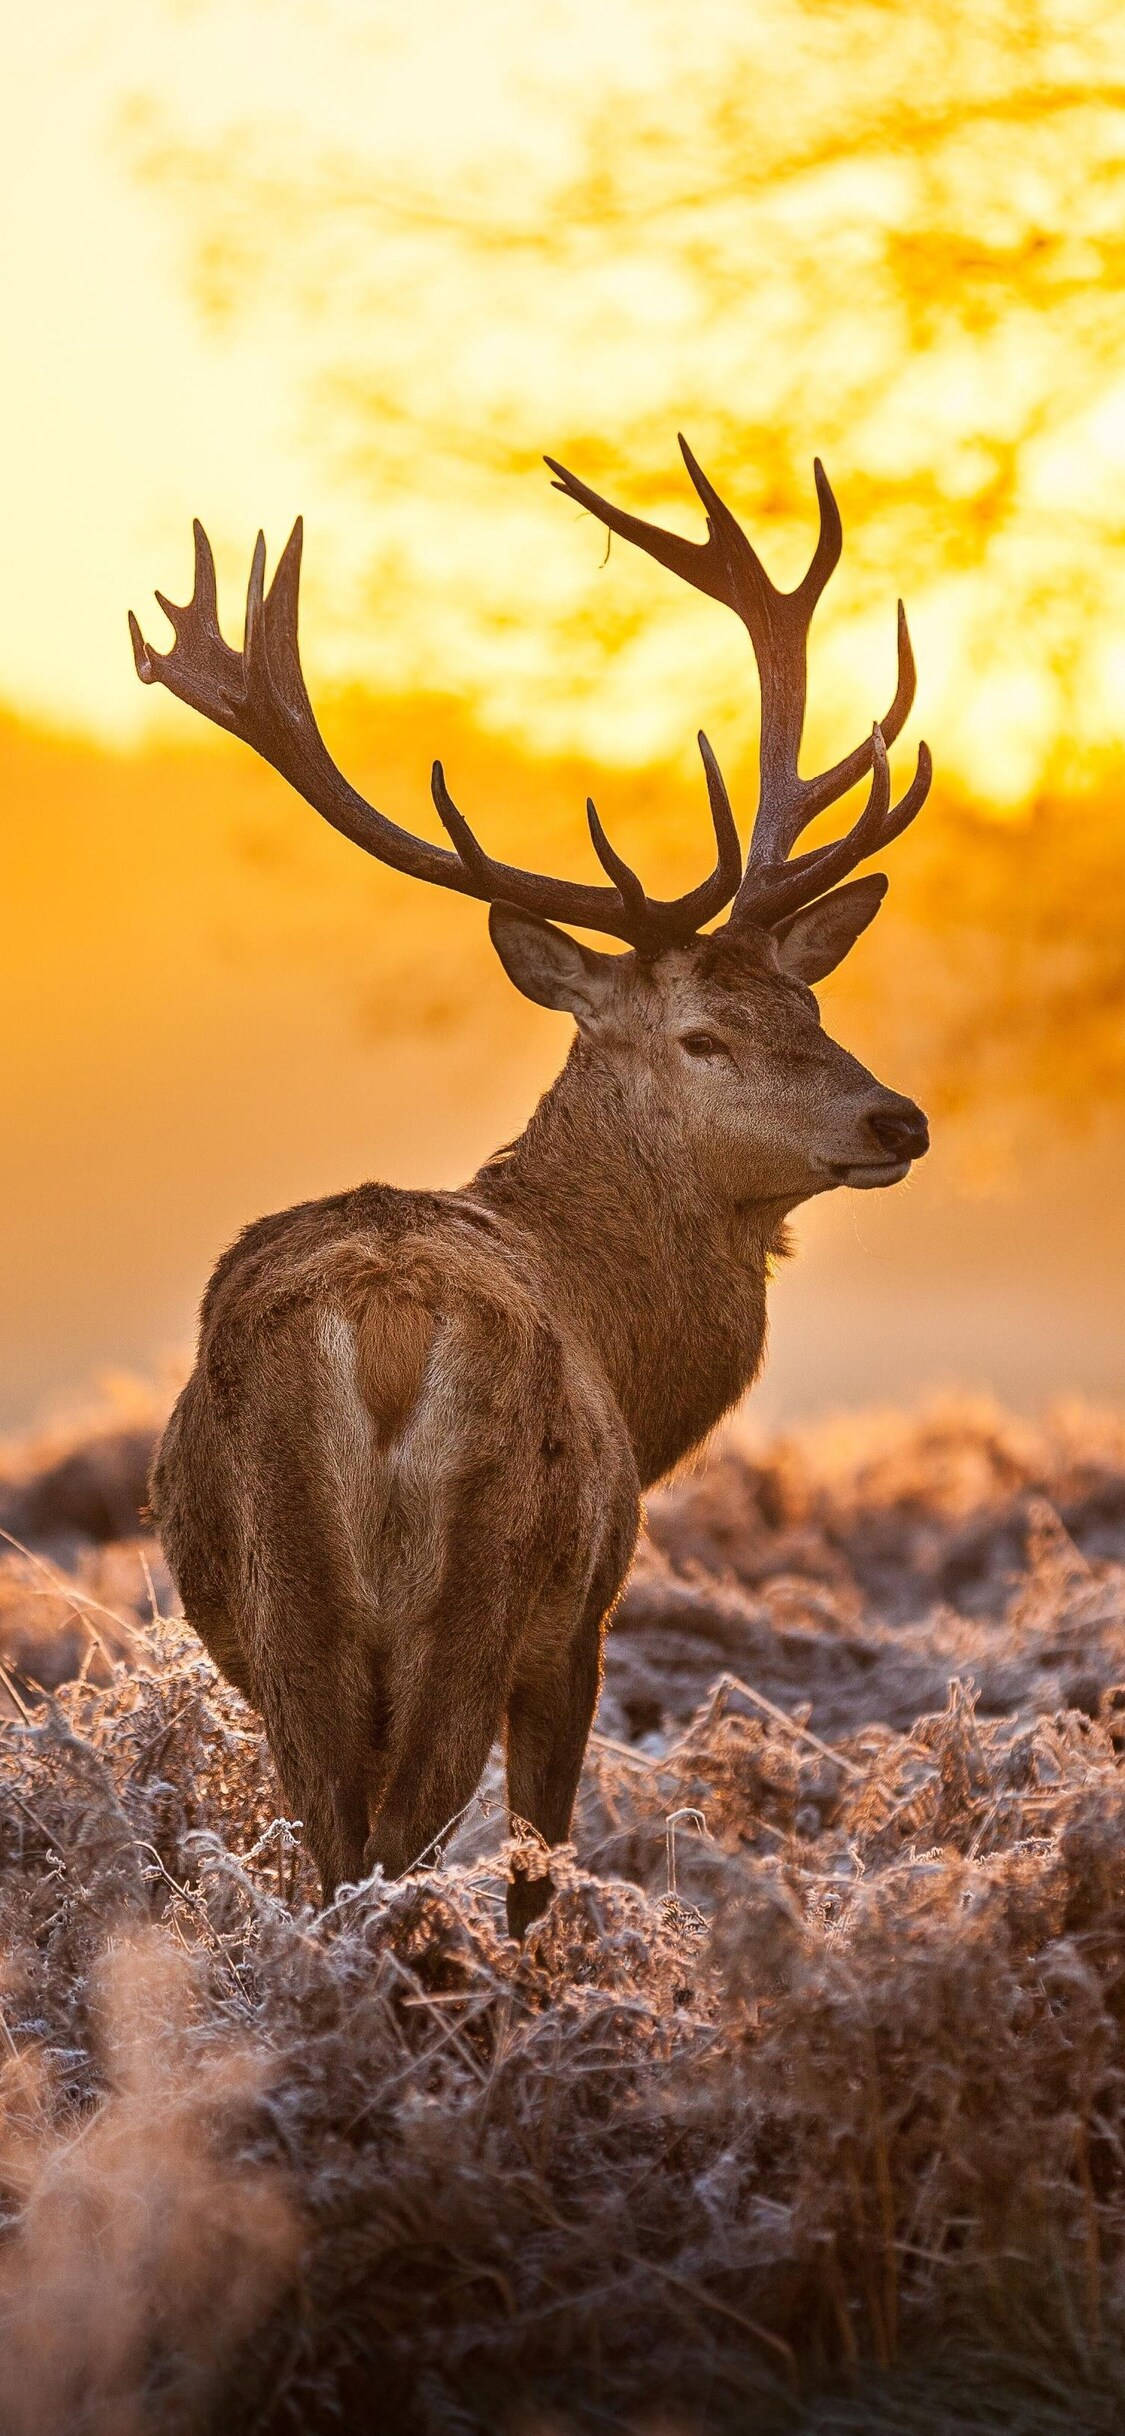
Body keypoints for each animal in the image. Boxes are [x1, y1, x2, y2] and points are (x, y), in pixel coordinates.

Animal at [130, 438, 931, 1935]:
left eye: (809, 1001)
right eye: (703, 1035)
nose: (896, 1117)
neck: (631, 1351)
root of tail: (383, 1325)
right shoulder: (586, 1619)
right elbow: (538, 1867)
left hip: (283, 1607)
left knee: (335, 1844)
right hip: (486, 1583)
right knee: (403, 1843)